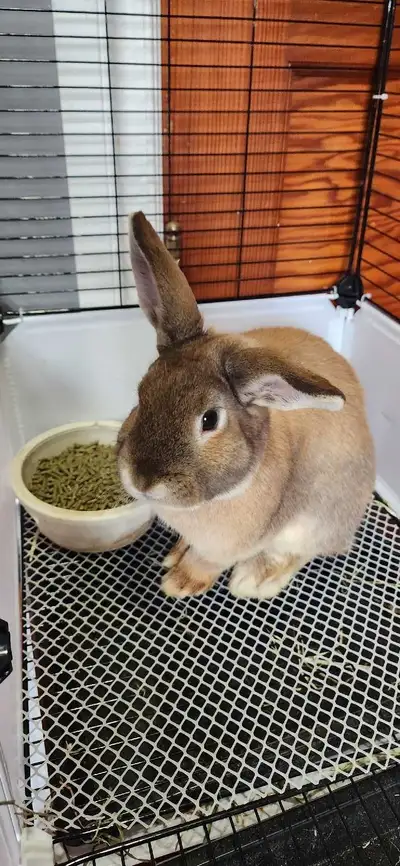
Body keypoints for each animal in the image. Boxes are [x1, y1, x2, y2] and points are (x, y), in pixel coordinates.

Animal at [117, 212, 375, 600]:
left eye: (209, 419)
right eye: (141, 393)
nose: (143, 480)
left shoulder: (227, 547)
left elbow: (206, 563)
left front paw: (180, 582)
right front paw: (176, 555)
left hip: (316, 522)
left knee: (301, 552)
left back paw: (254, 580)